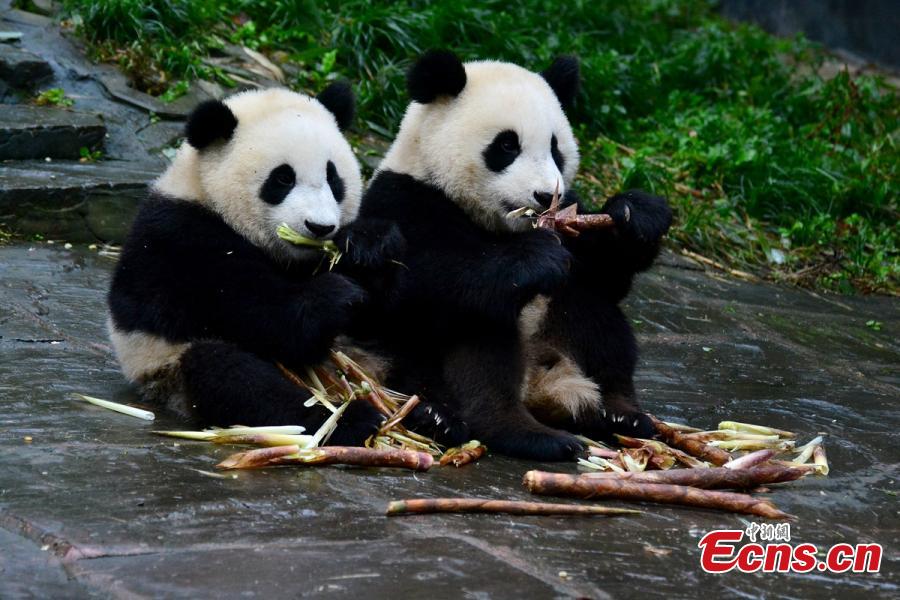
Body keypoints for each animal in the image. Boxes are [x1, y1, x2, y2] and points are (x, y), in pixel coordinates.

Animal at [106, 85, 404, 446]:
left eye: (334, 179)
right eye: (282, 179)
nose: (319, 227)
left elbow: (377, 320)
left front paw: (368, 246)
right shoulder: (184, 242)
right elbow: (266, 319)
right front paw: (337, 296)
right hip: (166, 366)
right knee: (236, 378)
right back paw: (350, 421)